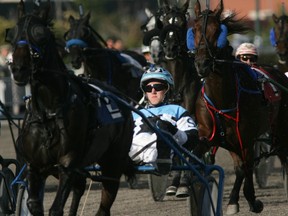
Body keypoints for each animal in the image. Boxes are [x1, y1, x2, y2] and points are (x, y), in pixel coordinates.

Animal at [6, 0, 136, 215]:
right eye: (13, 35)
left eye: (41, 35)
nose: (18, 69)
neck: (49, 113)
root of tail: (121, 99)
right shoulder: (36, 166)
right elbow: (33, 204)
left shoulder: (67, 164)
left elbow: (56, 209)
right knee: (80, 186)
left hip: (113, 164)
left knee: (104, 204)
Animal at [192, 0, 288, 214]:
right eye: (193, 30)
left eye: (217, 31)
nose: (202, 64)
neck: (223, 99)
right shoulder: (209, 135)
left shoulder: (245, 138)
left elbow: (244, 168)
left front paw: (245, 200)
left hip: (278, 130)